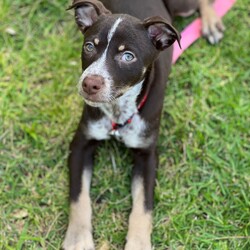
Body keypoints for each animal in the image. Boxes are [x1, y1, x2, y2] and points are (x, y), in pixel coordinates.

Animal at [63, 0, 225, 249]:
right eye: (89, 46)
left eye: (128, 56)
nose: (89, 84)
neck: (119, 111)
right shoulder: (81, 143)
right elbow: (79, 196)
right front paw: (78, 240)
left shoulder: (147, 154)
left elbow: (143, 205)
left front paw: (138, 243)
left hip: (183, 6)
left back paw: (211, 23)